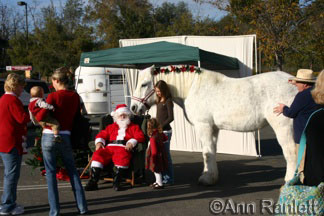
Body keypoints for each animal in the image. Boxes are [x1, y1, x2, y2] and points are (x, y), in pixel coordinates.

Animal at [130, 66, 298, 186]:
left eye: (144, 84)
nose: (133, 107)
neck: (192, 89)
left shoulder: (203, 126)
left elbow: (206, 152)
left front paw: (207, 178)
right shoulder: (214, 129)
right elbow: (212, 152)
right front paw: (212, 175)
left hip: (283, 127)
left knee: (291, 151)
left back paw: (290, 180)